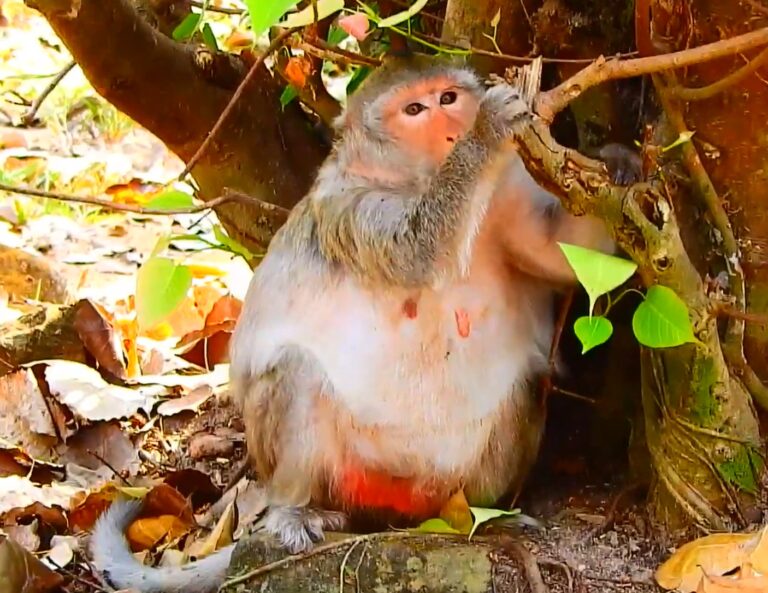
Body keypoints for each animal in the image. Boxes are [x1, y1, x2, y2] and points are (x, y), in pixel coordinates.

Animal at [90, 55, 638, 593]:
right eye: (414, 110)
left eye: (448, 97)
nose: (452, 128)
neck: (414, 180)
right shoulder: (349, 208)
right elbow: (415, 250)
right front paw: (488, 130)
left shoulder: (506, 197)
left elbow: (567, 258)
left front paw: (619, 161)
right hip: (339, 469)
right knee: (296, 372)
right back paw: (295, 509)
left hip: (448, 480)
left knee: (525, 383)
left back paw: (484, 518)